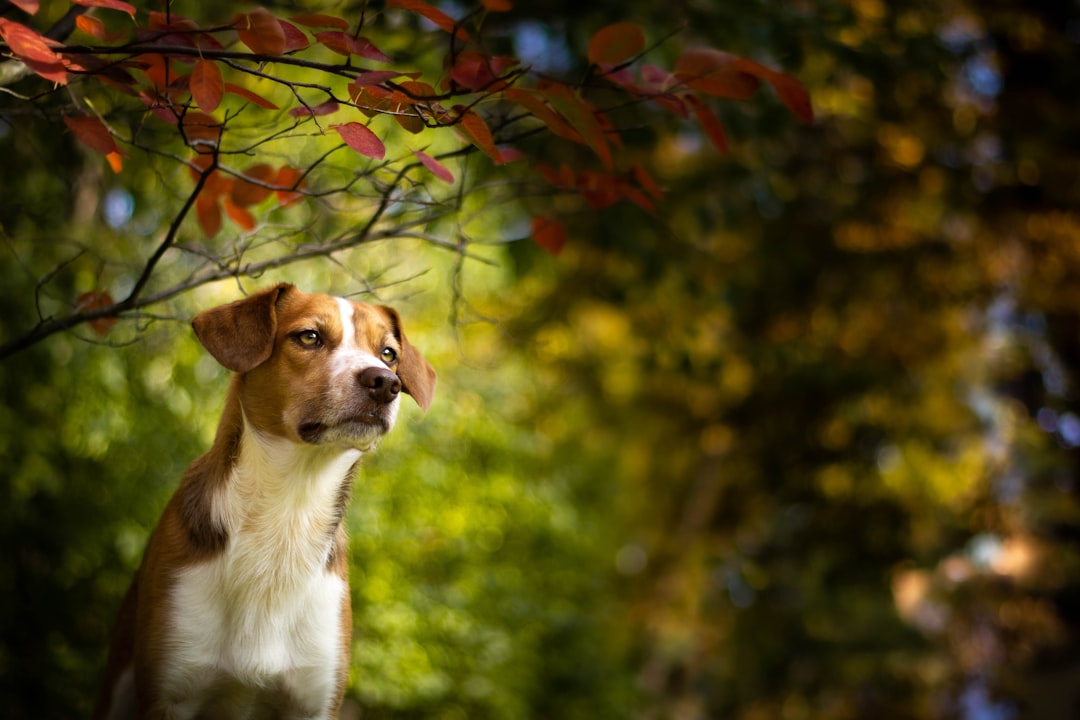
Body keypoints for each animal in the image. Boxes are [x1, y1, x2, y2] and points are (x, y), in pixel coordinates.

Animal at [93, 284, 434, 720]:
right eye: (309, 337)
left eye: (389, 353)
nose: (385, 381)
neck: (289, 511)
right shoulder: (170, 691)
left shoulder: (314, 699)